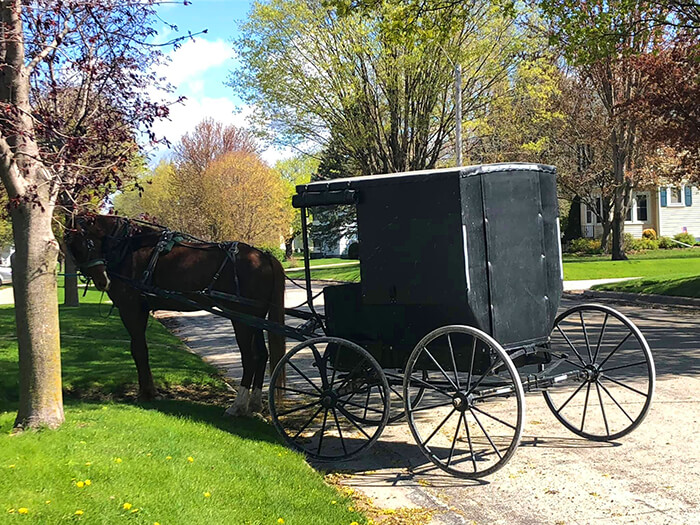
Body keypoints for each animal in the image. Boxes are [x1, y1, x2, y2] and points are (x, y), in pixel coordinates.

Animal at [64, 211, 286, 416]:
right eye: (71, 246)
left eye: (85, 242)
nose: (102, 281)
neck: (127, 248)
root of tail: (263, 255)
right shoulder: (141, 309)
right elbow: (140, 349)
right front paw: (148, 390)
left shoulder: (130, 308)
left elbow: (138, 349)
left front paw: (147, 393)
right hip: (255, 319)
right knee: (262, 354)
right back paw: (254, 404)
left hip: (241, 318)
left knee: (250, 357)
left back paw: (237, 406)